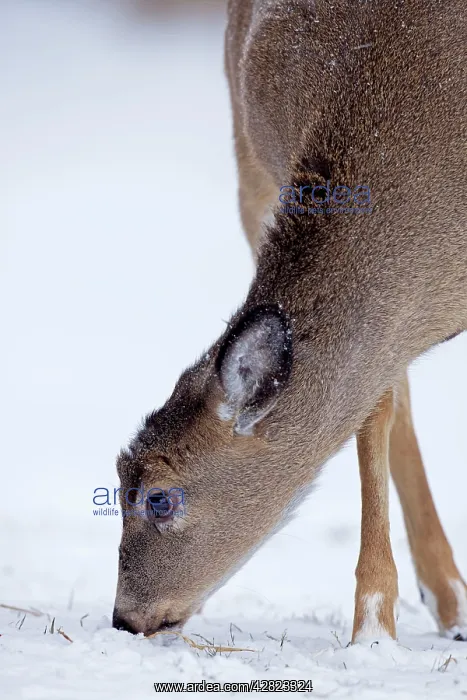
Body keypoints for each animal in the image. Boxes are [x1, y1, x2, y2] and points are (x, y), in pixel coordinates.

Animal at [113, 0, 467, 644]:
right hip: (249, 170)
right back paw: (450, 602)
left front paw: (372, 628)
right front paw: (373, 628)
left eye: (158, 498)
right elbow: (375, 410)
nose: (125, 618)